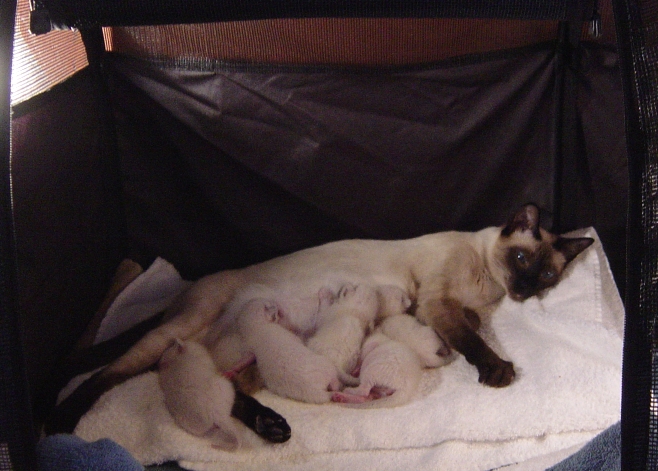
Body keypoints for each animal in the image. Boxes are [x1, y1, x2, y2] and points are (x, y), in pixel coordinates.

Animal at [50, 203, 596, 442]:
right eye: (521, 258)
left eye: (547, 274)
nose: (524, 289)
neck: (488, 285)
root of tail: (183, 292)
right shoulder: (437, 305)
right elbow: (471, 342)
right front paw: (498, 371)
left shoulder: (458, 309)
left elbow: (472, 329)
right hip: (177, 333)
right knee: (109, 373)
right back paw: (60, 420)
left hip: (247, 356)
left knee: (229, 389)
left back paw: (273, 426)